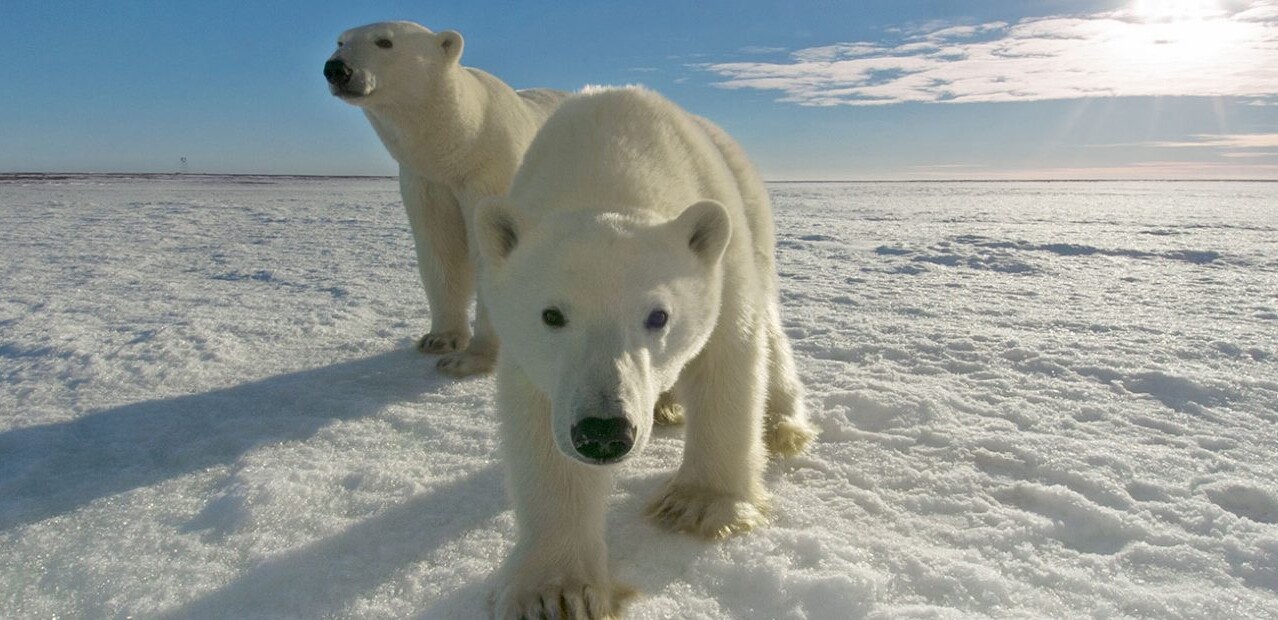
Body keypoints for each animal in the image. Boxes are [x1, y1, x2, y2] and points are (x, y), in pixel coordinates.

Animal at [325, 21, 566, 377]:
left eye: (384, 42)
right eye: (341, 42)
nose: (337, 68)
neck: (466, 139)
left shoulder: (490, 172)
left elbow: (490, 251)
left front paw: (473, 358)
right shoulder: (427, 181)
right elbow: (440, 248)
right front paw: (439, 340)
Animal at [476, 86, 818, 619]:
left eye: (658, 316)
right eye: (551, 314)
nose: (603, 432)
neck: (611, 165)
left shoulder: (720, 261)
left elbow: (727, 357)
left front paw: (701, 504)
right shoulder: (536, 359)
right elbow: (540, 426)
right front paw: (554, 591)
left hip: (752, 212)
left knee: (768, 322)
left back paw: (781, 424)